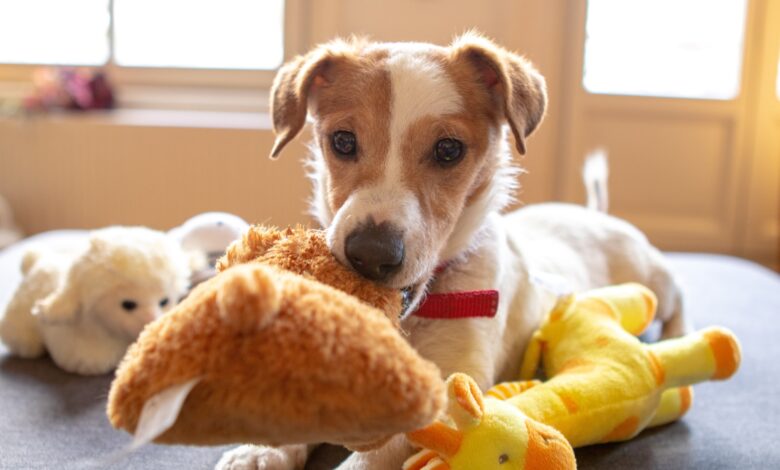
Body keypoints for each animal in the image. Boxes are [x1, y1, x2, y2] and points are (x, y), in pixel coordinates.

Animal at [216, 33, 684, 470]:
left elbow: (377, 453)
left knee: (678, 300)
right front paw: (261, 450)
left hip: (653, 280)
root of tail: (591, 213)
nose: (371, 255)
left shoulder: (454, 387)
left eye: (448, 149)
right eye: (343, 141)